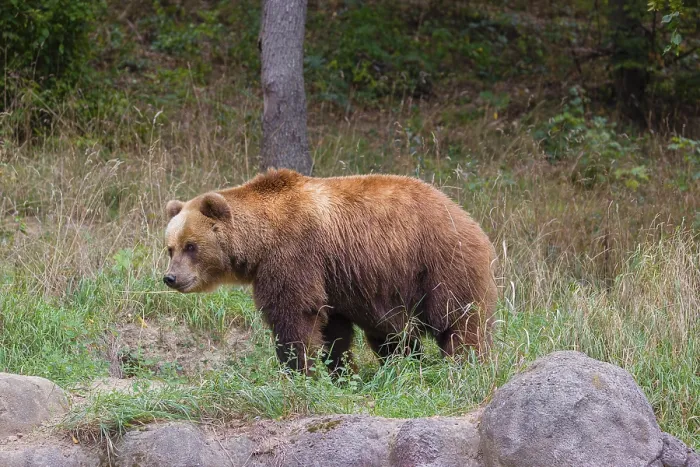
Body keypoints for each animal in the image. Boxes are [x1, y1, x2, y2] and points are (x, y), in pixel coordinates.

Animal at [163, 168, 498, 375]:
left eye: (191, 246)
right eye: (170, 247)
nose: (171, 278)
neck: (262, 240)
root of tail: (471, 220)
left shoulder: (295, 254)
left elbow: (294, 315)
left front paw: (298, 371)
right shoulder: (333, 278)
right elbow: (333, 330)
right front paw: (339, 371)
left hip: (440, 263)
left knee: (457, 319)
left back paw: (465, 364)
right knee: (392, 334)